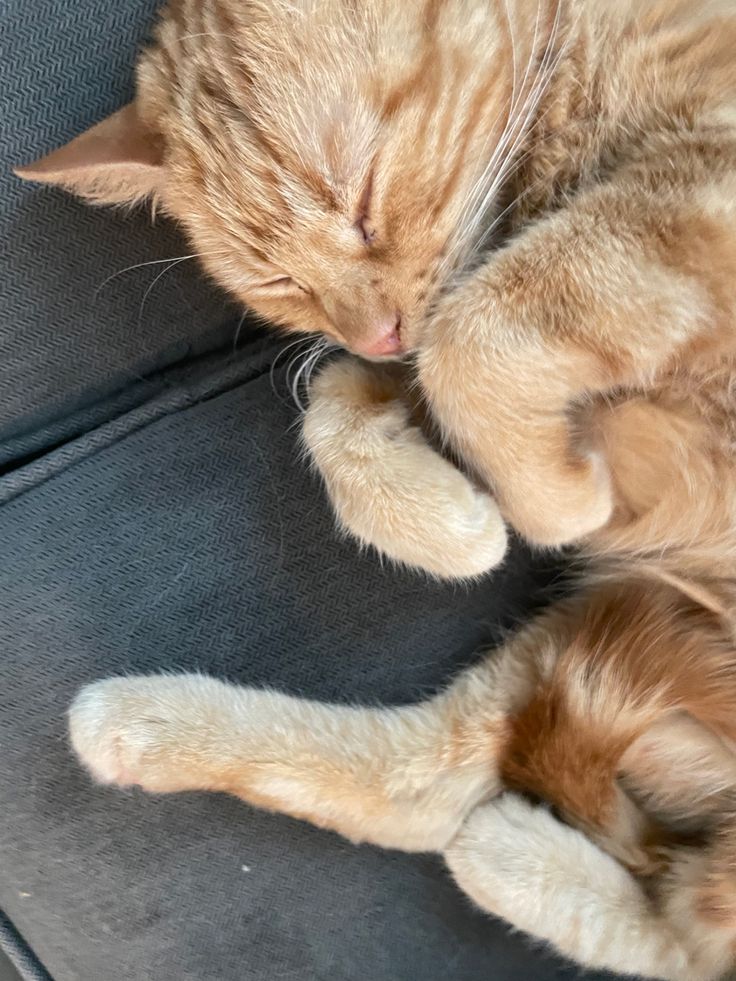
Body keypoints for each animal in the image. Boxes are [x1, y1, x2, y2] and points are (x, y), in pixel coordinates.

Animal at [18, 0, 736, 976]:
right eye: (279, 279)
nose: (377, 331)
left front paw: (558, 499)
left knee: (696, 932)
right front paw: (457, 523)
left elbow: (475, 330)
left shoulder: (696, 185)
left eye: (361, 204)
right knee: (432, 798)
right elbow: (355, 389)